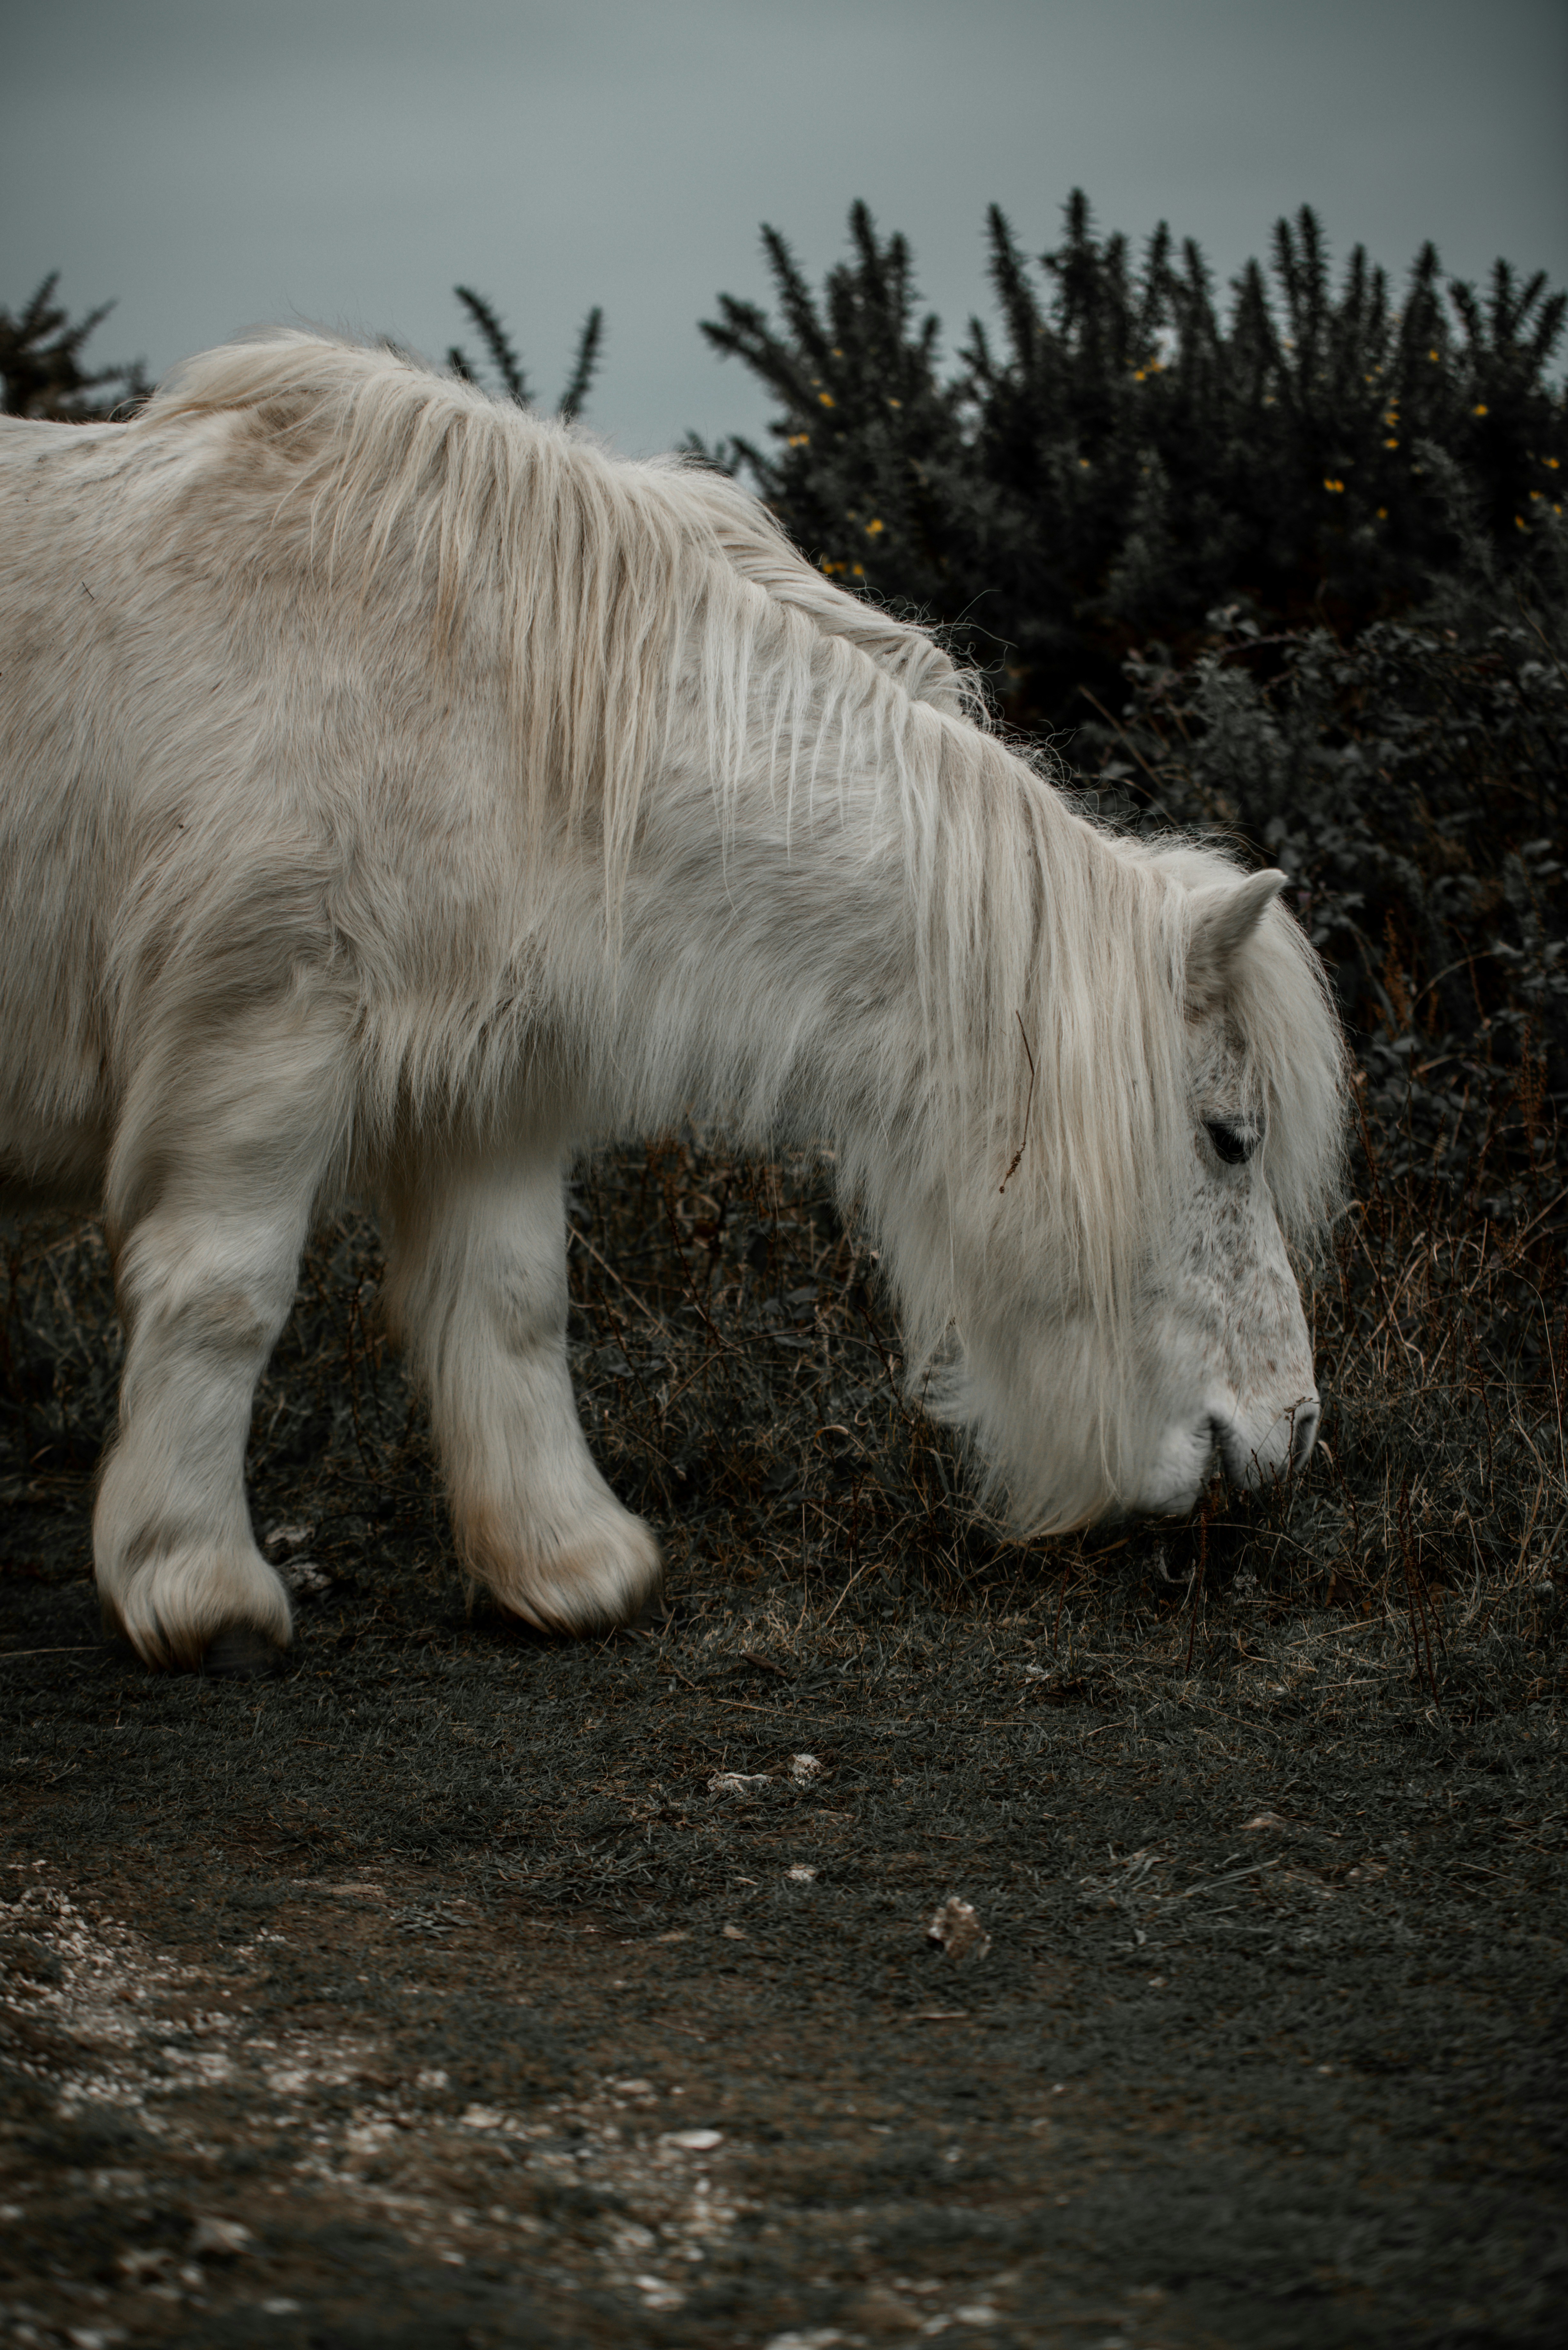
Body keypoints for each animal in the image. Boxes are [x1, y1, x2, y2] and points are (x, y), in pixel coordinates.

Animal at [0, 331, 1347, 1671]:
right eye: (1229, 1139)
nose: (1292, 1429)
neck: (499, 704)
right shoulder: (262, 1032)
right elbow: (224, 1295)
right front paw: (196, 1586)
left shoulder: (486, 1092)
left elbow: (513, 1304)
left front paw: (564, 1566)